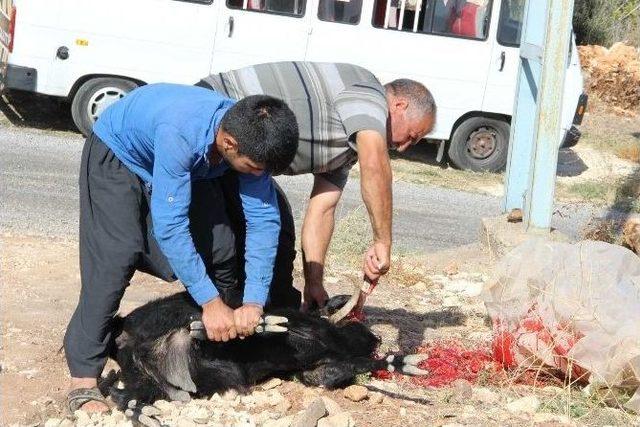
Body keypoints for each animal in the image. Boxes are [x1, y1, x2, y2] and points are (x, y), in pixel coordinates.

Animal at [109, 292, 428, 422]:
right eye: (355, 322)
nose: (377, 339)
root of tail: (128, 338)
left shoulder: (314, 371)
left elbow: (335, 372)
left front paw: (398, 362)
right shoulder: (304, 321)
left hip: (150, 384)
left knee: (122, 395)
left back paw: (138, 410)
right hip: (173, 312)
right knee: (205, 324)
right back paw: (250, 324)